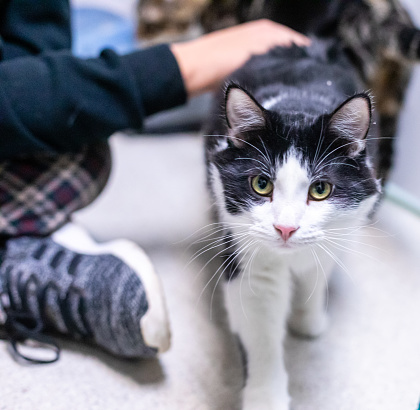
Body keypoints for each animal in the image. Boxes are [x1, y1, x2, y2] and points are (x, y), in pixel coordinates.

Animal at [205, 41, 382, 406]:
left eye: (320, 189)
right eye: (261, 184)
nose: (285, 229)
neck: (298, 105)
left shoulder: (332, 239)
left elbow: (315, 280)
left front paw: (308, 321)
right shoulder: (250, 264)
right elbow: (261, 341)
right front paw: (266, 399)